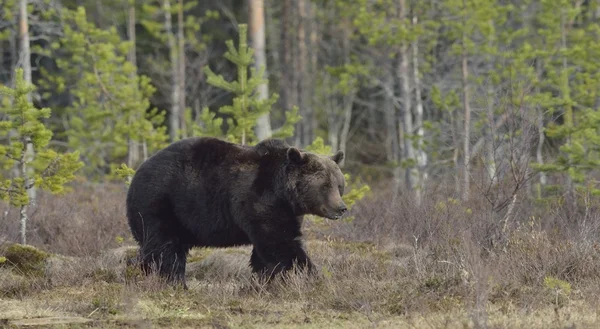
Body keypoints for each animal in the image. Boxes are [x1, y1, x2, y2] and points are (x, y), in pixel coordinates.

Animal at [126, 136, 346, 288]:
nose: (342, 208)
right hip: (160, 203)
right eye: (325, 185)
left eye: (340, 185)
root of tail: (137, 172)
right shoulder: (261, 201)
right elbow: (281, 243)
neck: (285, 195)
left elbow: (267, 250)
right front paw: (310, 275)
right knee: (164, 247)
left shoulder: (287, 212)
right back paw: (173, 282)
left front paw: (261, 280)